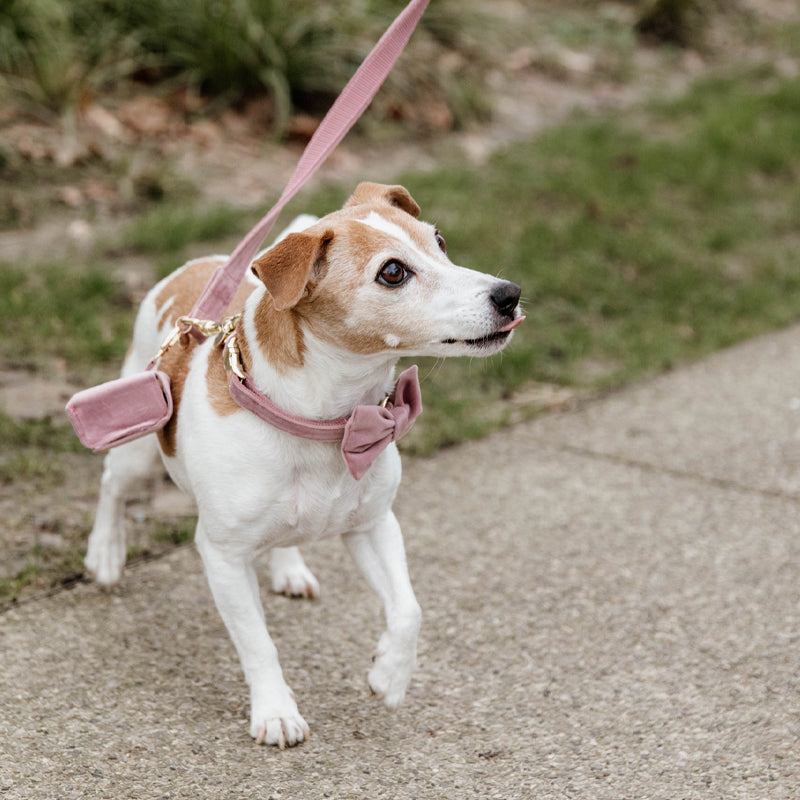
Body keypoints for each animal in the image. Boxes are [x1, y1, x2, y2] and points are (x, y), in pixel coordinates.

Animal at [84, 184, 520, 748]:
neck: (323, 425)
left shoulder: (373, 525)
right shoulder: (223, 557)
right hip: (136, 441)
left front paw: (389, 674)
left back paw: (289, 568)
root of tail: (200, 264)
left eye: (440, 242)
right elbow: (258, 643)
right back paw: (106, 553)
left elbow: (408, 609)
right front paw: (275, 712)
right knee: (112, 485)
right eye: (393, 272)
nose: (509, 294)